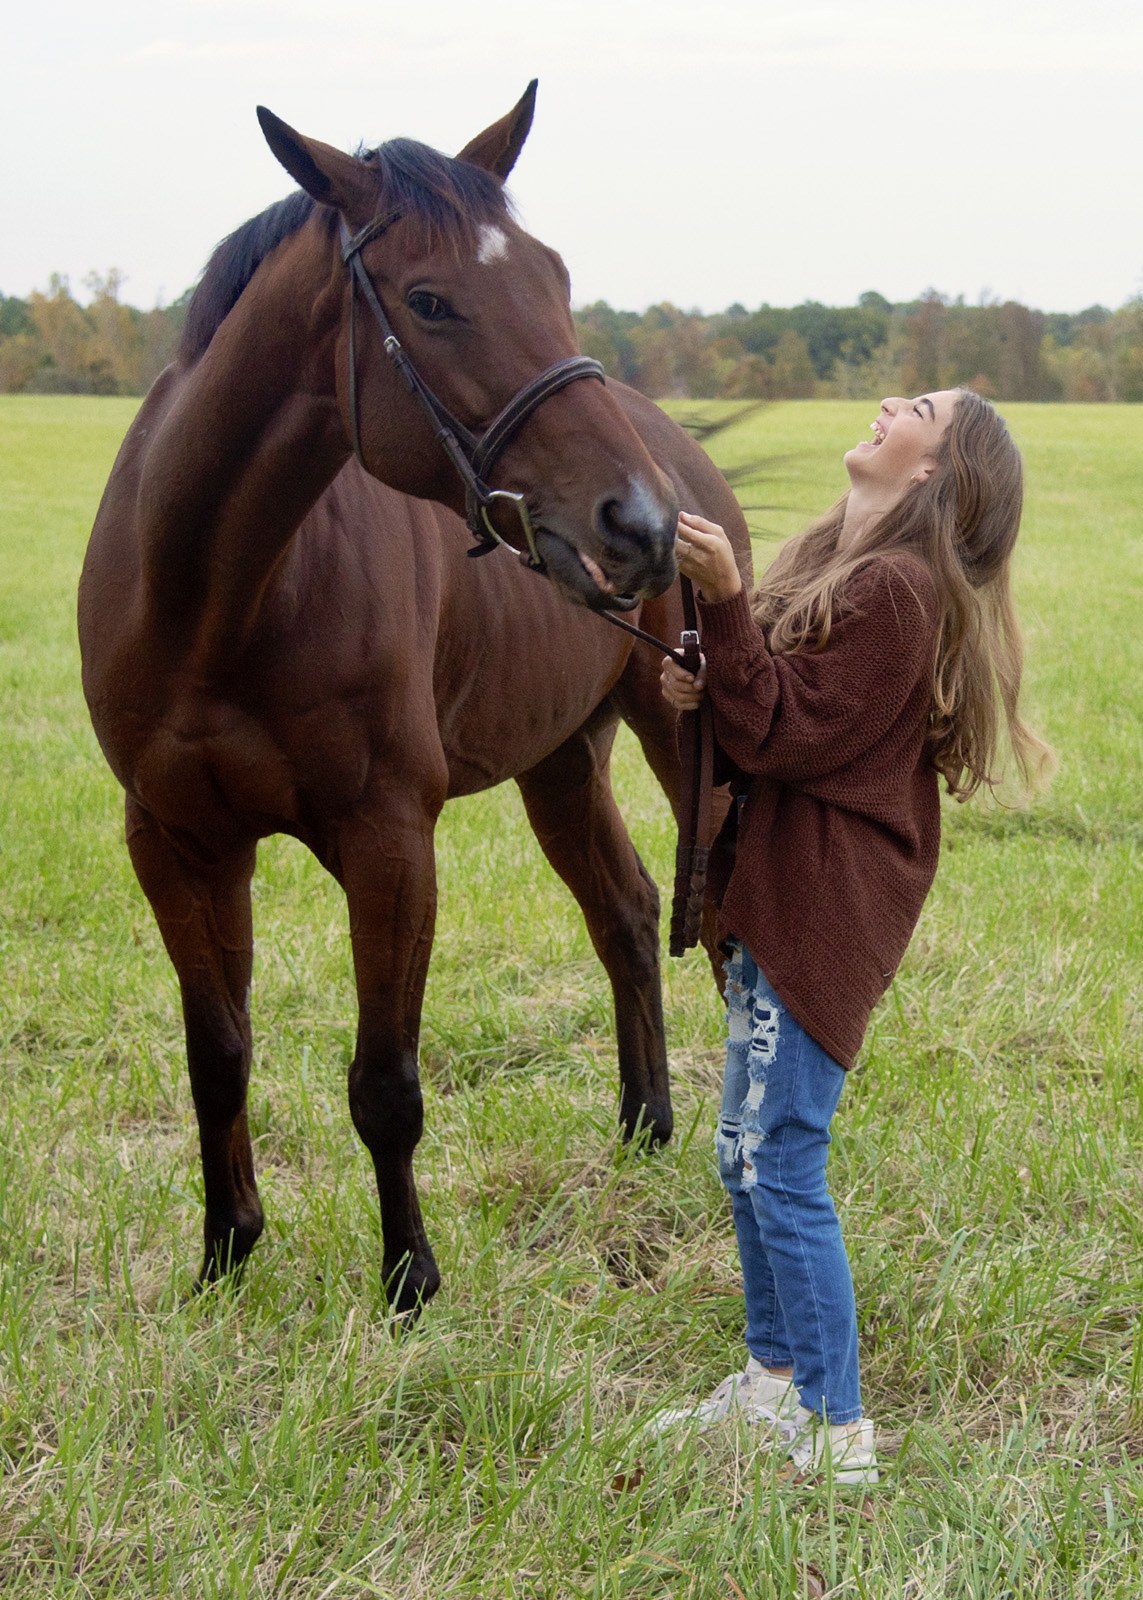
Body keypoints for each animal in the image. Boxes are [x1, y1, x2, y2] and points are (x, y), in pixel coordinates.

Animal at [78, 83, 753, 1315]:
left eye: (554, 275)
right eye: (430, 300)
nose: (638, 524)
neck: (213, 600)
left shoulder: (390, 837)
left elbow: (385, 1078)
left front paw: (409, 1281)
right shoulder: (178, 842)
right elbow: (218, 1054)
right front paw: (225, 1254)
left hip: (683, 734)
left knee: (724, 923)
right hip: (561, 762)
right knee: (629, 912)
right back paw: (645, 1123)